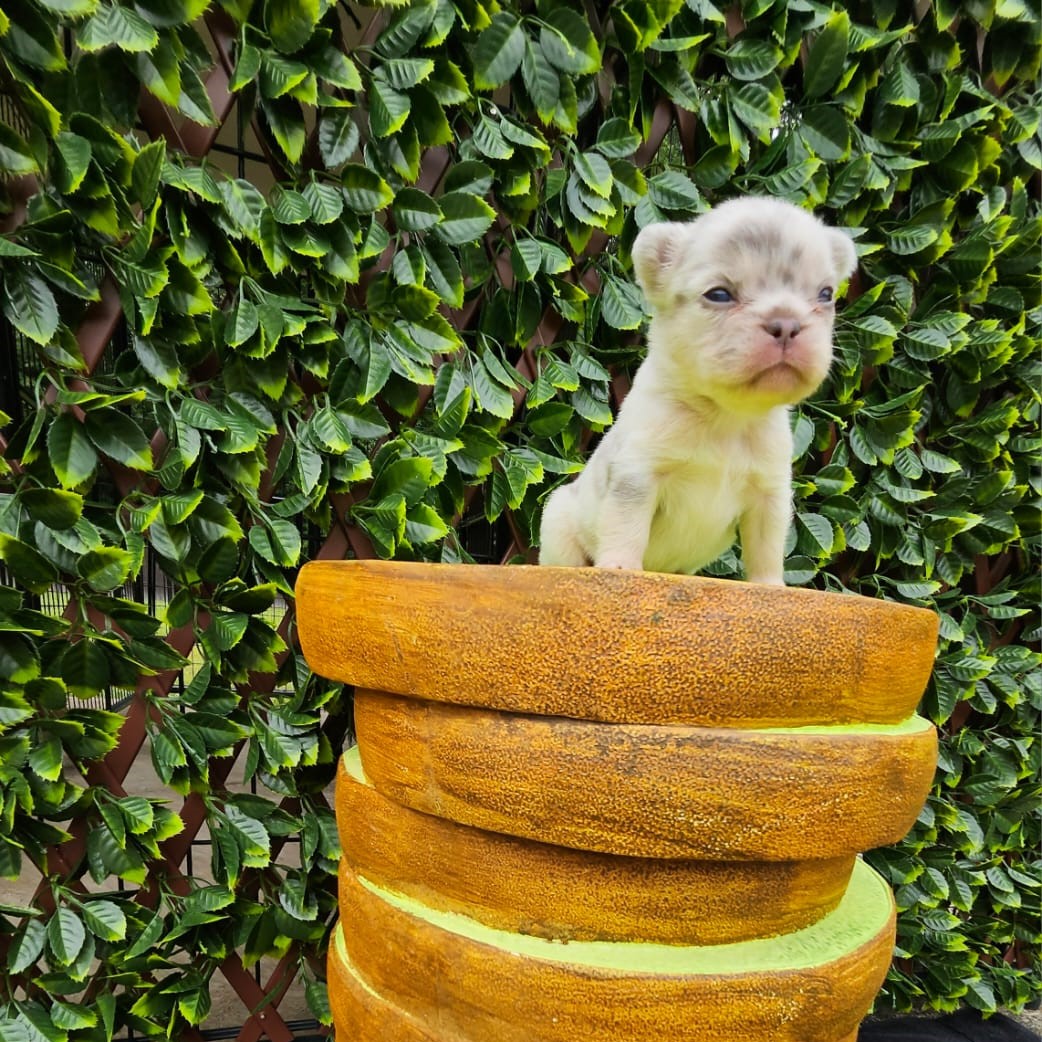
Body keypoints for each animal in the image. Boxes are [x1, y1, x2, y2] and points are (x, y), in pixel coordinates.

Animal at [538, 196, 857, 584]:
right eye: (718, 294)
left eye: (825, 294)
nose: (786, 323)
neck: (726, 415)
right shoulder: (638, 476)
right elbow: (627, 527)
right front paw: (619, 566)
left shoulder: (768, 496)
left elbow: (766, 548)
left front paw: (770, 585)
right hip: (559, 525)